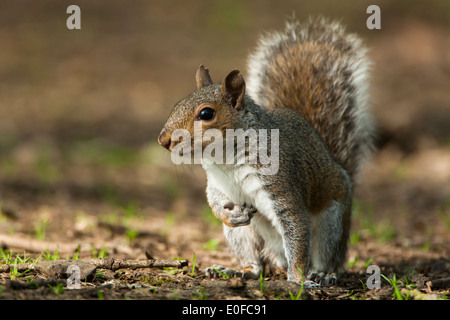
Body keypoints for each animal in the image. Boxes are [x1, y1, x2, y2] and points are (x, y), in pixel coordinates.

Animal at [158, 17, 372, 286]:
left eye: (206, 113)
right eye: (176, 105)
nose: (163, 140)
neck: (226, 160)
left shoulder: (280, 185)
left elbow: (296, 229)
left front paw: (299, 279)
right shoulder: (217, 183)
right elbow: (214, 201)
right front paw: (227, 215)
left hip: (331, 224)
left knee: (328, 257)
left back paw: (322, 274)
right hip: (243, 237)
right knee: (257, 265)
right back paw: (237, 270)